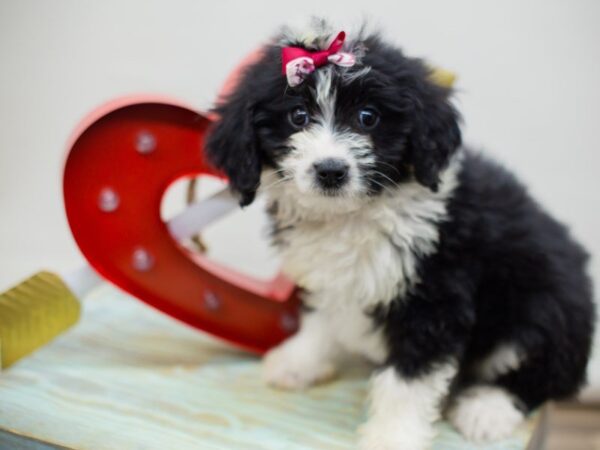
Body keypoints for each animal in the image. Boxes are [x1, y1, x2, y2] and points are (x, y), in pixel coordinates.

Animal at [206, 21, 596, 450]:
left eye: (368, 117)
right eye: (297, 116)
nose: (330, 170)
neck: (352, 214)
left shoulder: (434, 295)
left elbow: (408, 379)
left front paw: (392, 435)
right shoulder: (335, 278)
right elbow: (323, 318)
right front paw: (298, 362)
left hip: (546, 307)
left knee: (543, 374)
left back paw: (487, 409)